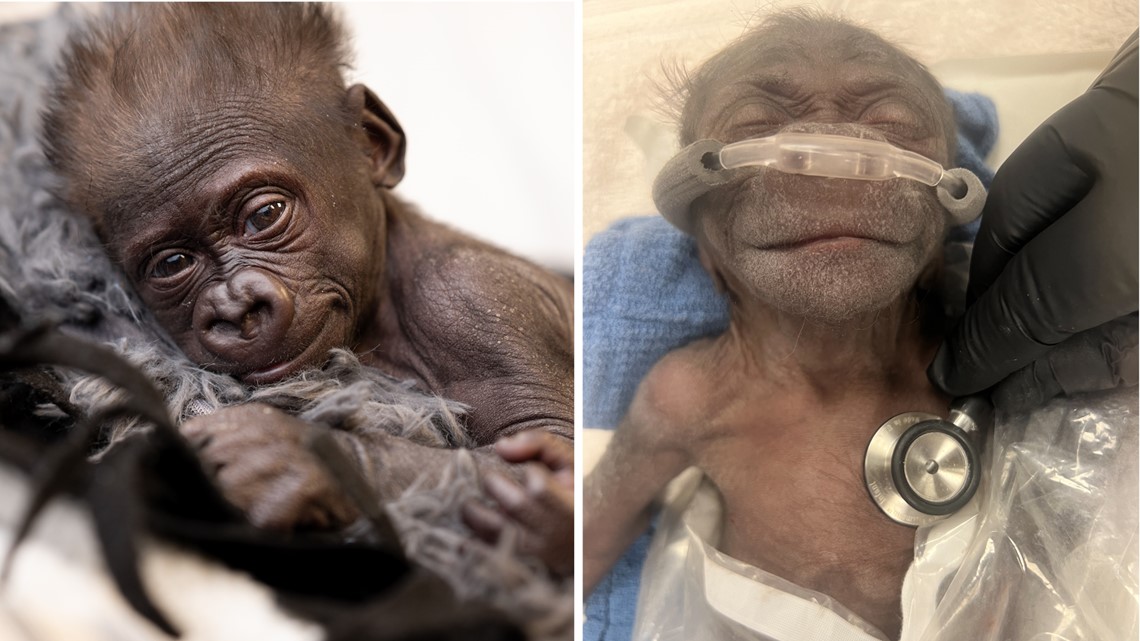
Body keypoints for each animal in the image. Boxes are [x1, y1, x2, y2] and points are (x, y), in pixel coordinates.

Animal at [40, 3, 572, 575]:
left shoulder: (475, 304)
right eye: (173, 262)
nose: (237, 309)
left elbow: (547, 468)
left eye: (265, 215)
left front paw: (301, 461)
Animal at [584, 11, 963, 638]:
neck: (830, 366)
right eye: (756, 125)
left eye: (892, 124)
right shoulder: (670, 395)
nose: (838, 156)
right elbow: (610, 513)